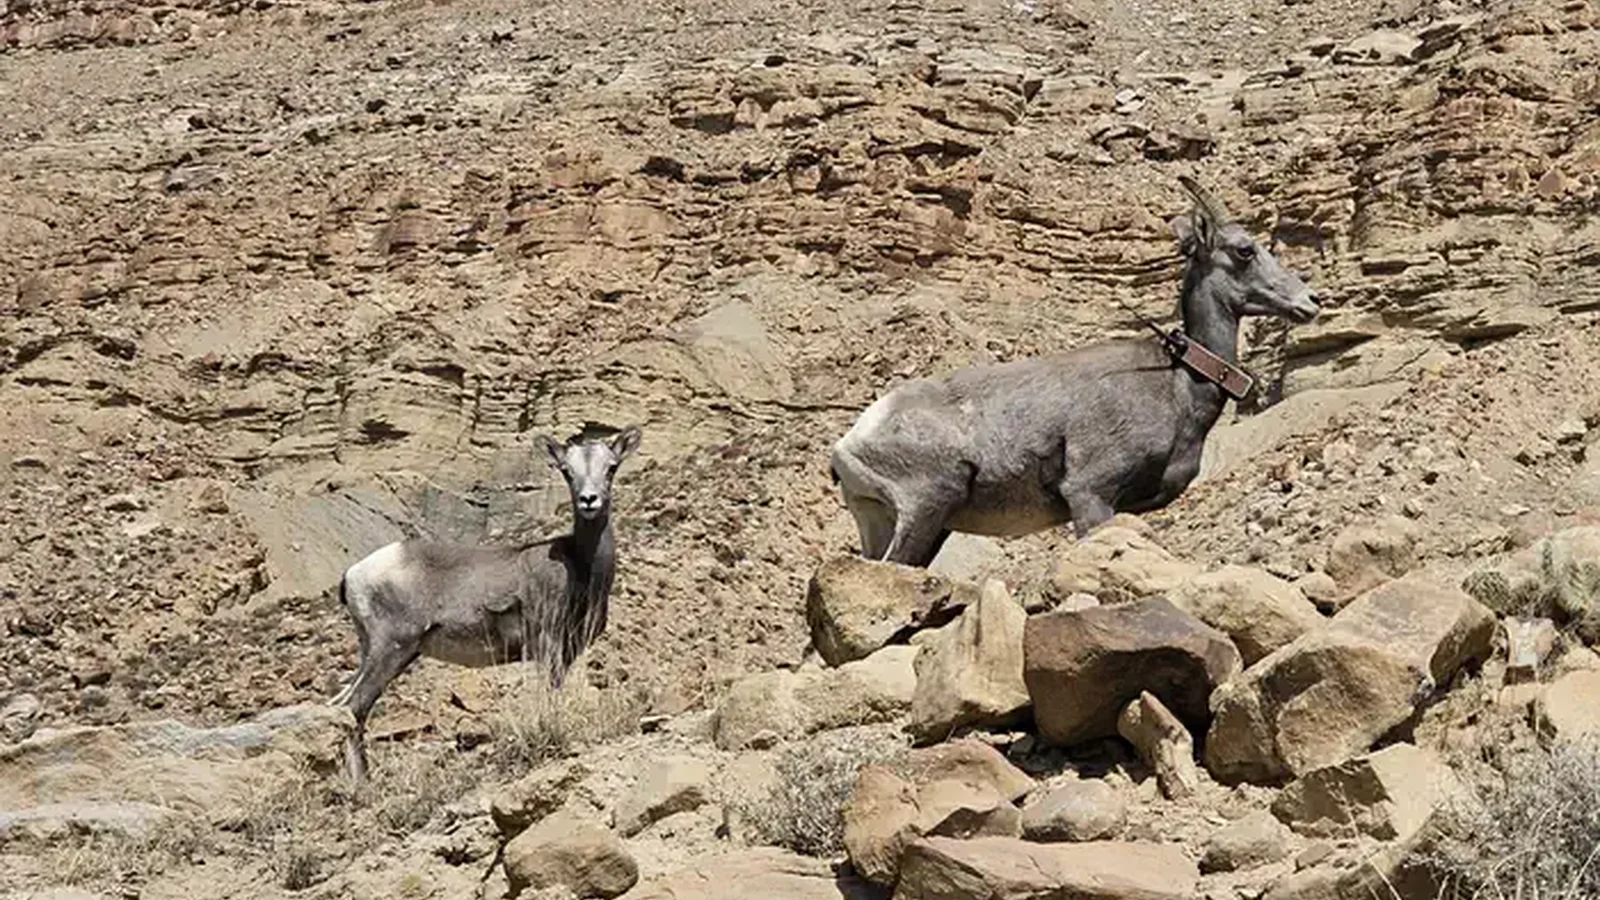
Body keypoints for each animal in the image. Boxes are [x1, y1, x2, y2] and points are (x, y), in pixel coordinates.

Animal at [328, 425, 641, 782]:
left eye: (611, 467)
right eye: (567, 471)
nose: (589, 500)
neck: (581, 567)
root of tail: (354, 574)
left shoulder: (567, 653)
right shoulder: (547, 645)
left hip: (376, 653)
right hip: (391, 649)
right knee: (353, 709)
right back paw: (363, 786)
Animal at [829, 176, 1320, 566]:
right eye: (1244, 250)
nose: (1310, 301)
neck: (1176, 385)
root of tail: (849, 444)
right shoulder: (1091, 494)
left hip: (892, 523)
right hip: (925, 509)